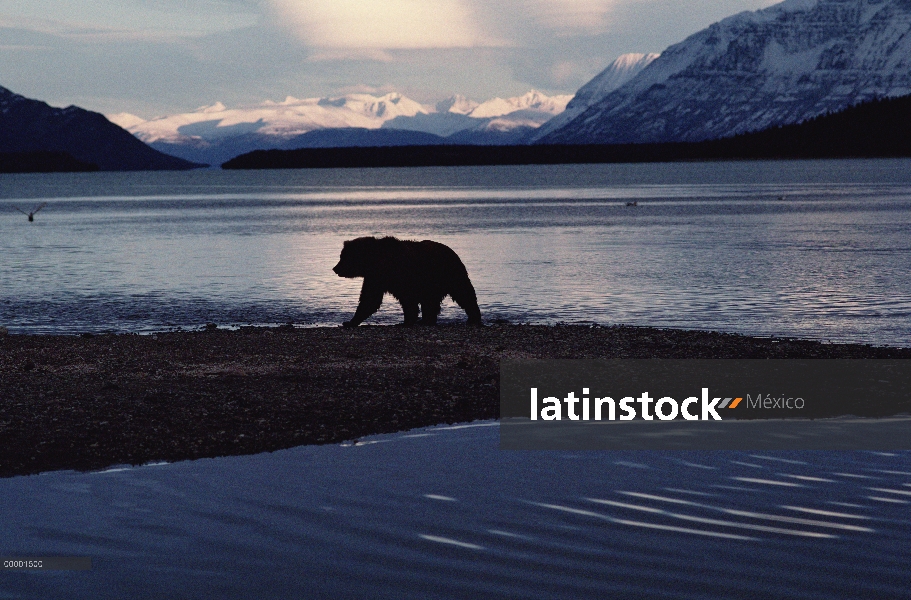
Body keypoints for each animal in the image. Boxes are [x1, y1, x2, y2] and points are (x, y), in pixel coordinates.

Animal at [334, 236, 484, 328]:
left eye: (343, 257)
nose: (335, 268)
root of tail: (452, 252)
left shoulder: (403, 276)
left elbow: (407, 300)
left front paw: (406, 321)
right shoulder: (376, 277)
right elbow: (370, 298)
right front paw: (350, 322)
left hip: (449, 274)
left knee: (463, 293)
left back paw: (473, 318)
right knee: (431, 301)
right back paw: (426, 320)